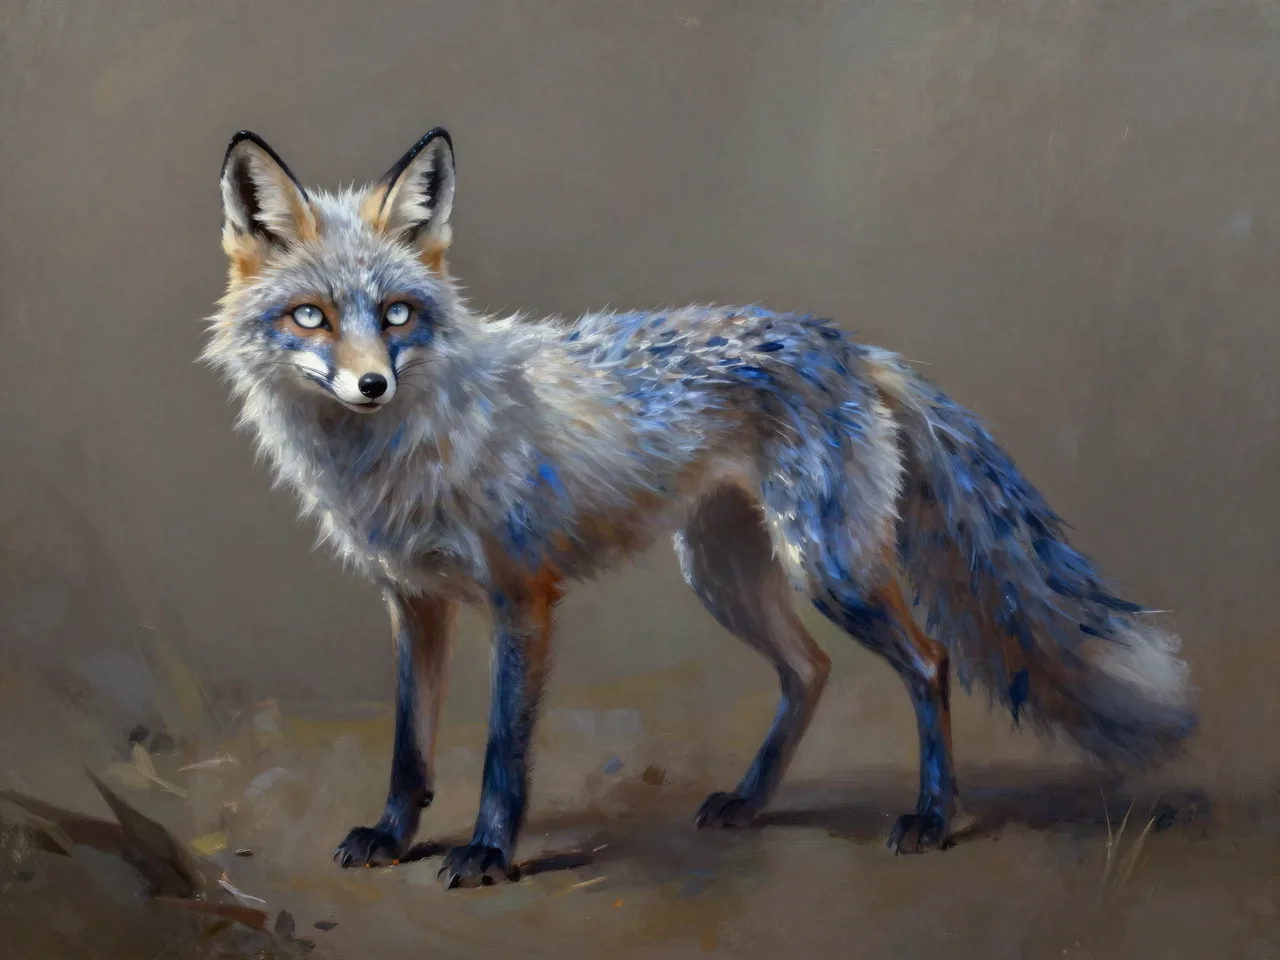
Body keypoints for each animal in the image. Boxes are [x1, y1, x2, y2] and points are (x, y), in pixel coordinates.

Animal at [203, 126, 1196, 889]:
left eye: (399, 314)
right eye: (311, 317)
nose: (370, 384)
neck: (398, 458)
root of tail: (849, 344)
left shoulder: (522, 596)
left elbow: (500, 753)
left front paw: (489, 852)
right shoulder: (413, 598)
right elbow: (411, 745)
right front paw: (393, 836)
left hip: (828, 567)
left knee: (930, 659)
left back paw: (933, 817)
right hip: (725, 575)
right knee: (809, 671)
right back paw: (751, 800)